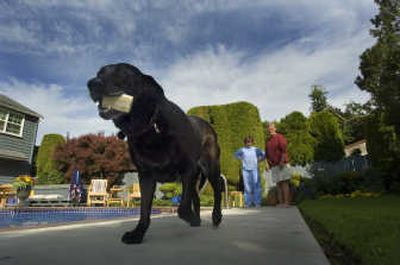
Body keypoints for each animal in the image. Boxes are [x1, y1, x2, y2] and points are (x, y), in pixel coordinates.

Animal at [88, 62, 223, 243]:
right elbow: (144, 210)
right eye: (99, 73)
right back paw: (198, 220)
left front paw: (191, 217)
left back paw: (215, 217)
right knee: (196, 195)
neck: (150, 126)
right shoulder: (145, 175)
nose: (91, 83)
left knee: (217, 189)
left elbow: (182, 208)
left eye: (121, 73)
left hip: (210, 167)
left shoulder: (187, 168)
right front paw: (137, 234)